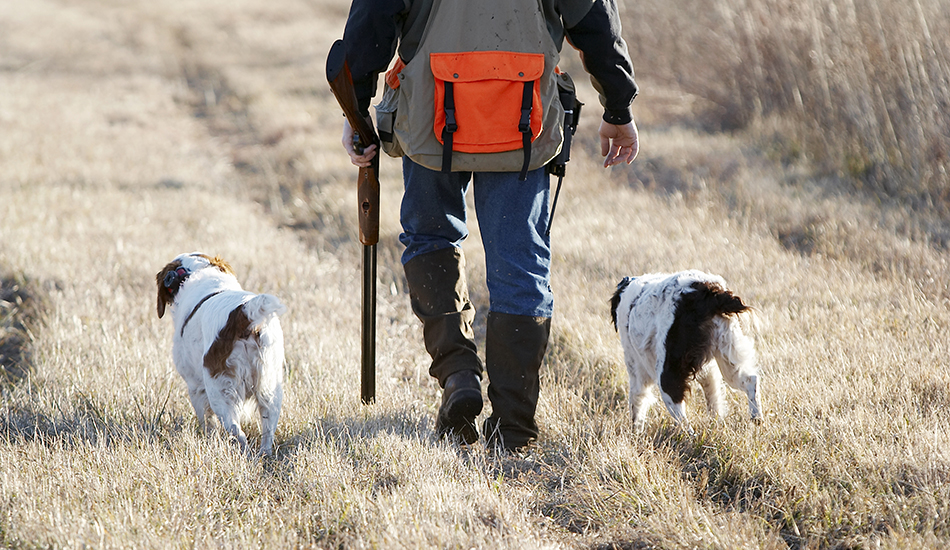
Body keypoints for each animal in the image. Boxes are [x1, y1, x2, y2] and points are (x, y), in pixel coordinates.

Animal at [156, 252, 286, 454]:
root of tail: (242, 313)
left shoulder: (196, 387)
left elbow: (207, 423)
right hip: (271, 387)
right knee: (267, 430)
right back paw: (263, 454)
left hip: (218, 390)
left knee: (237, 431)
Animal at [612, 272, 764, 436]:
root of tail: (710, 292)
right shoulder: (709, 372)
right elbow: (714, 399)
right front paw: (715, 423)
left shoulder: (637, 369)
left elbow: (637, 403)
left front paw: (635, 434)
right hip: (729, 355)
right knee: (751, 380)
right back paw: (756, 419)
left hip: (667, 372)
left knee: (680, 416)